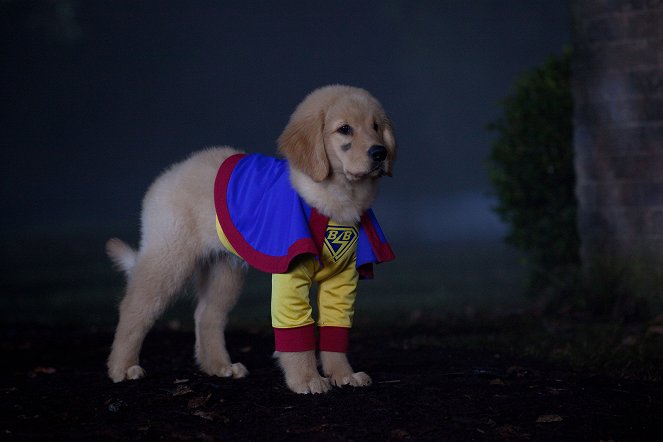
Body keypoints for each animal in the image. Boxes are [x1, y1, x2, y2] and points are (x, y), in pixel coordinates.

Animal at [106, 85, 396, 394]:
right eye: (344, 129)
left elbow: (335, 331)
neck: (336, 198)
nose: (380, 153)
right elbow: (296, 333)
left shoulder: (342, 281)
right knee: (134, 309)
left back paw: (219, 367)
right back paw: (122, 367)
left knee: (207, 315)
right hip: (169, 259)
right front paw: (306, 379)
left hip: (225, 270)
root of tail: (169, 175)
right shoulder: (290, 277)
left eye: (376, 127)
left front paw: (343, 374)